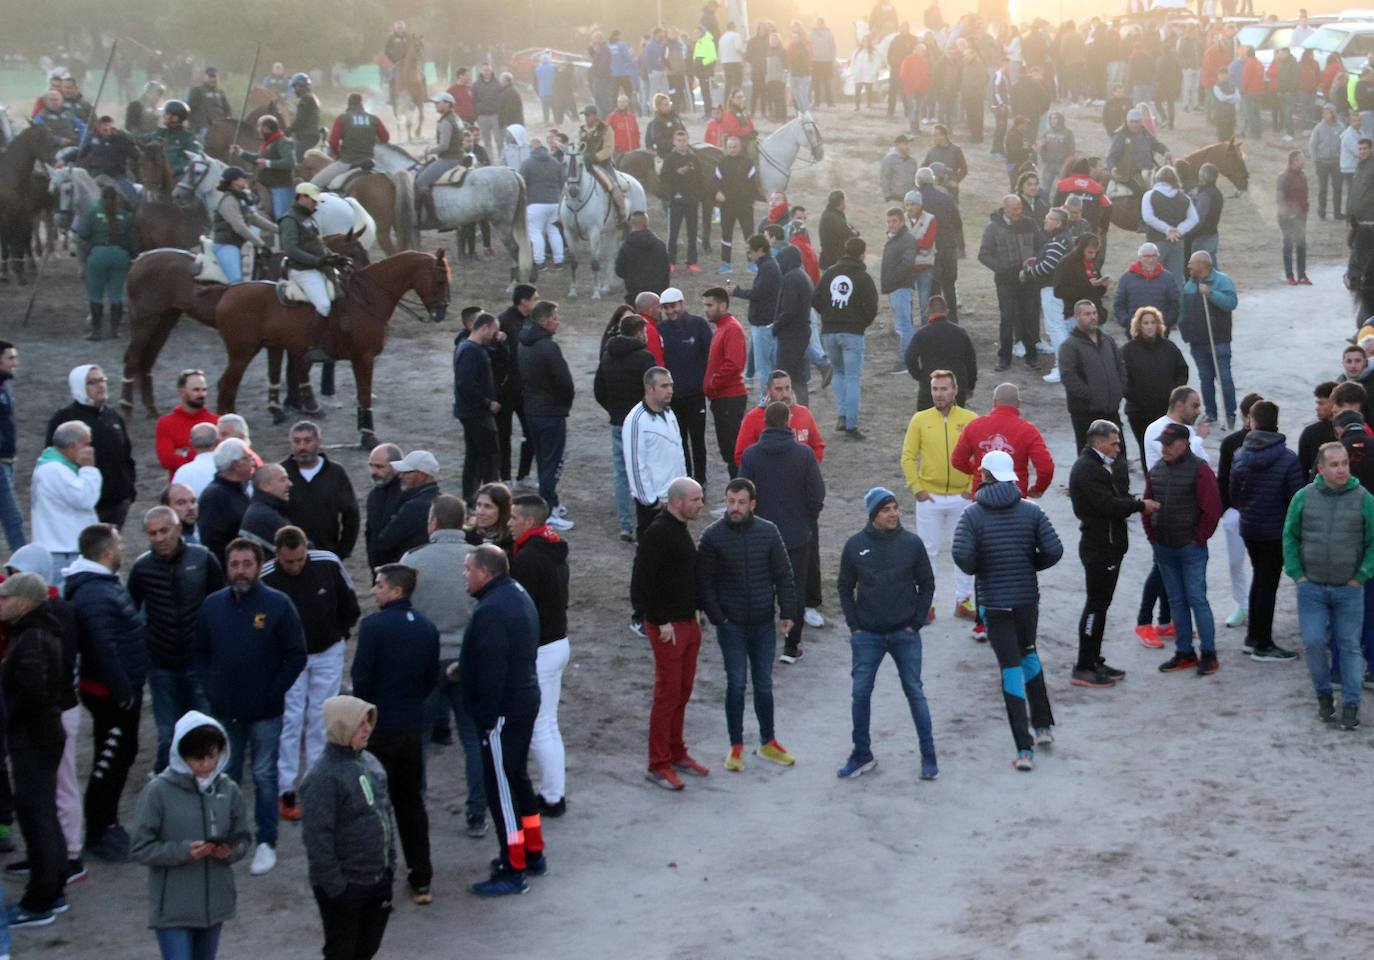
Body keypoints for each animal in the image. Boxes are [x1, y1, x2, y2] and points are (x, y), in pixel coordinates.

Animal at [0, 124, 57, 281]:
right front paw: (5, 273)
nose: (53, 159)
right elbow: (6, 243)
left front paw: (20, 273)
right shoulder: (5, 217)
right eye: (38, 137)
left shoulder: (23, 215)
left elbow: (20, 241)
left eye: (50, 134)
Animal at [122, 232, 368, 420]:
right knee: (133, 358)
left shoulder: (278, 341)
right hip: (145, 320)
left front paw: (280, 407)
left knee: (147, 360)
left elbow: (277, 371)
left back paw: (150, 408)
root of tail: (140, 260)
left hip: (166, 319)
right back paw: (126, 406)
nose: (360, 281)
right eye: (353, 254)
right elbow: (295, 368)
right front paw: (303, 406)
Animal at [212, 245, 450, 444]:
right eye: (440, 281)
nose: (441, 313)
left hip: (269, 346)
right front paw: (368, 436)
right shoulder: (364, 358)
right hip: (242, 353)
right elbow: (364, 395)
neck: (367, 298)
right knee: (226, 386)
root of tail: (228, 292)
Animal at [555, 142, 645, 298]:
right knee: (612, 255)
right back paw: (606, 286)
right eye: (564, 163)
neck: (577, 202)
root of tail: (635, 182)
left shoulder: (594, 232)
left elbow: (595, 263)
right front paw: (573, 291)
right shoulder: (569, 232)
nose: (572, 190)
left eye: (580, 164)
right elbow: (573, 262)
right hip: (611, 230)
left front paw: (596, 293)